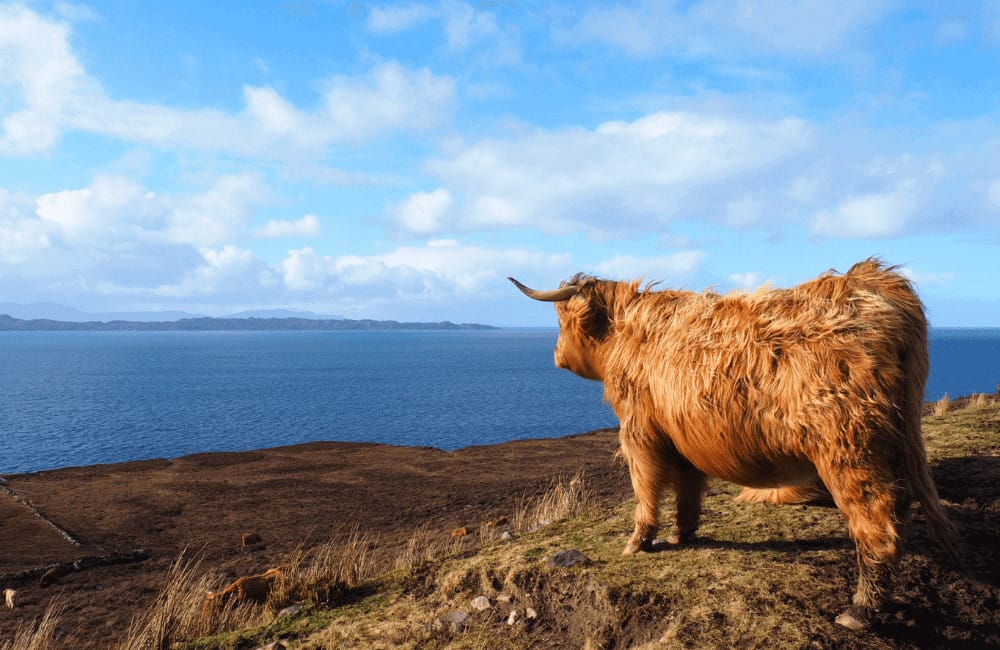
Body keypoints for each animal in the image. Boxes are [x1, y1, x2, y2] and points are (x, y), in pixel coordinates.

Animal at [516, 258, 960, 628]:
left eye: (560, 320)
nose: (556, 354)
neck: (625, 337)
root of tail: (875, 282)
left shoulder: (639, 429)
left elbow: (646, 486)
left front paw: (639, 541)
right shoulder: (682, 434)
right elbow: (687, 489)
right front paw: (683, 534)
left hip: (849, 446)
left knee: (876, 519)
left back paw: (862, 607)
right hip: (895, 437)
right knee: (900, 502)